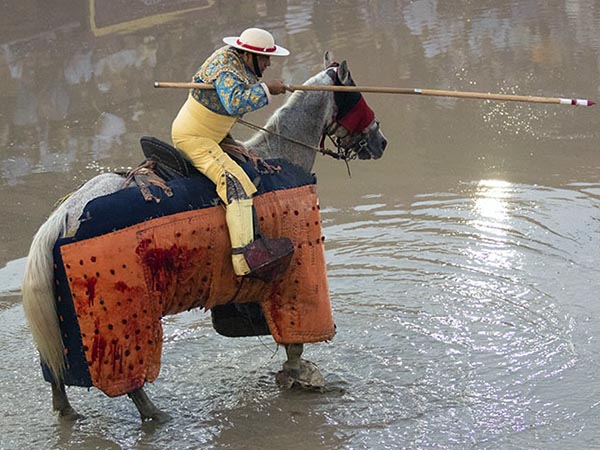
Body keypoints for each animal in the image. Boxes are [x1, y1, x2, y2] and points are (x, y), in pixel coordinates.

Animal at [21, 54, 386, 424]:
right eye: (355, 95)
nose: (380, 142)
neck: (279, 154)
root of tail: (64, 215)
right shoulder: (295, 279)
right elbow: (295, 342)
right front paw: (304, 377)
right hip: (120, 320)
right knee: (130, 381)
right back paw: (157, 415)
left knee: (58, 374)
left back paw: (68, 412)